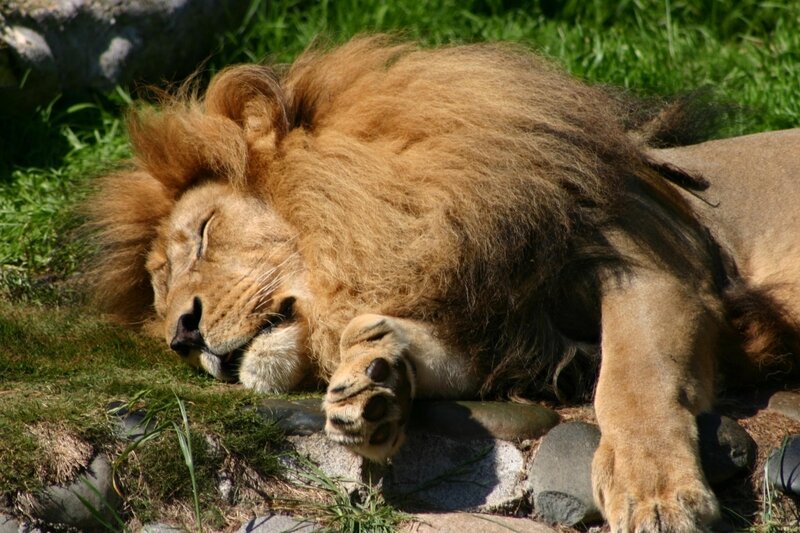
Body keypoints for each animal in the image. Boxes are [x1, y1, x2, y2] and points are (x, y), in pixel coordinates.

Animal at [87, 36, 800, 531]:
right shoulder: (512, 333)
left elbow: (634, 379)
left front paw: (656, 494)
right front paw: (372, 382)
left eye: (205, 232)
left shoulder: (658, 268)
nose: (181, 336)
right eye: (158, 290)